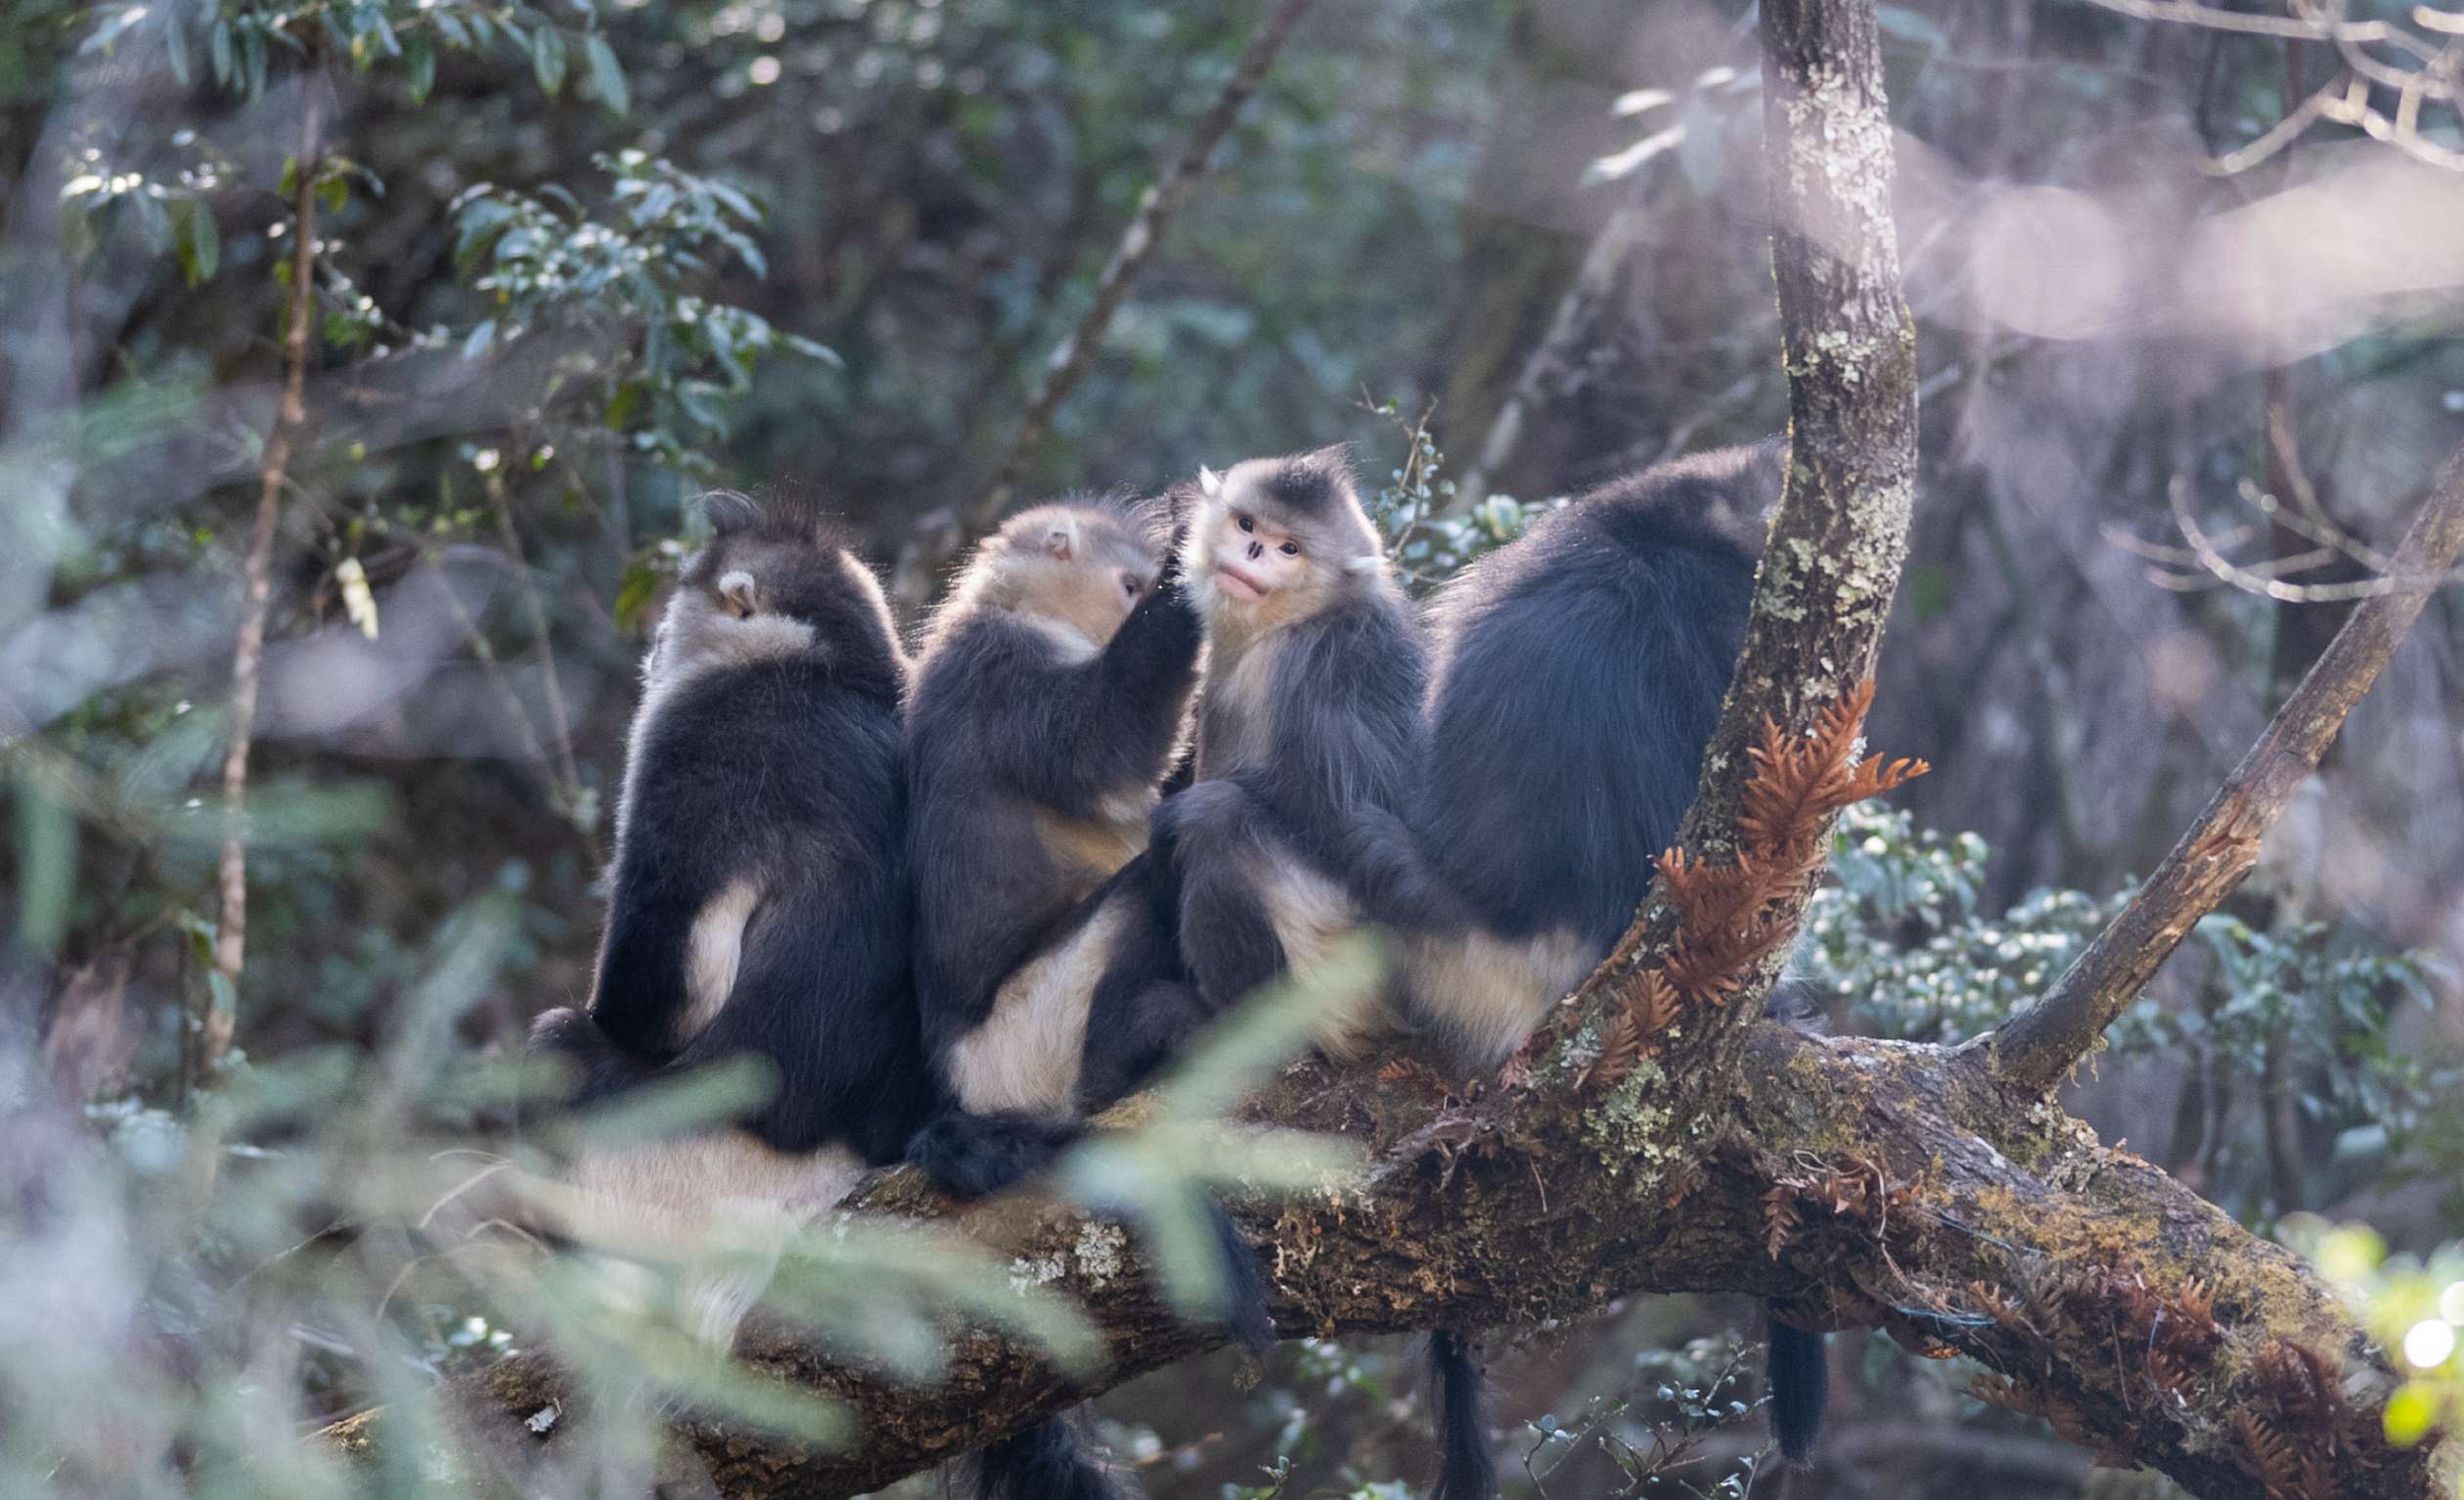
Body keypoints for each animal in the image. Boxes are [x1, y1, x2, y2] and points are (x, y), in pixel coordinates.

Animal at [529, 494, 931, 1349]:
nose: (651, 650)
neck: (826, 670)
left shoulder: (694, 736)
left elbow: (659, 995)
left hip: (663, 1177)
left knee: (556, 1045)